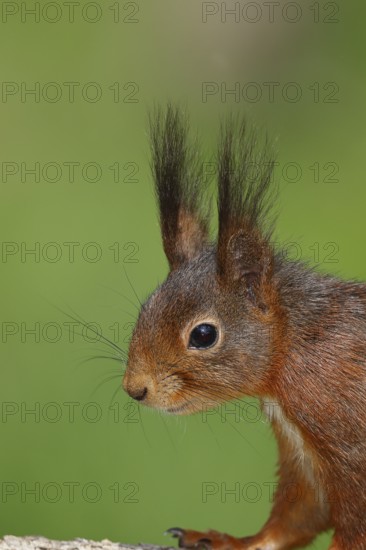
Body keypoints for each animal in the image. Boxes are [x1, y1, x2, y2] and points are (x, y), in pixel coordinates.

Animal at [122, 105, 366, 548]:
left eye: (203, 335)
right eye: (146, 307)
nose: (135, 389)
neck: (295, 347)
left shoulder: (350, 442)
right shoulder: (302, 456)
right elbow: (295, 517)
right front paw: (231, 540)